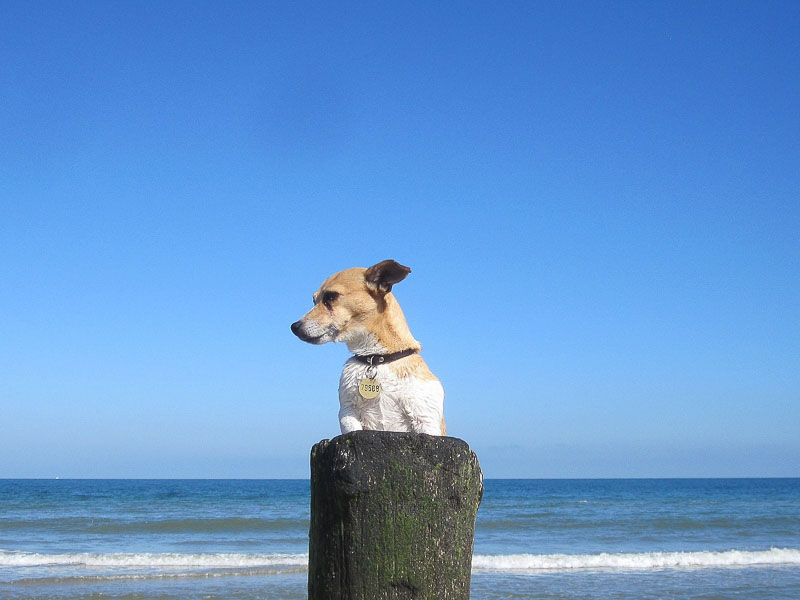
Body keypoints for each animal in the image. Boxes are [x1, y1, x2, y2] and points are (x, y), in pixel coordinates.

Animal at [292, 258, 446, 436]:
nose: (294, 326)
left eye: (331, 297)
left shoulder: (425, 419)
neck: (376, 358)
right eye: (314, 301)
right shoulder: (347, 412)